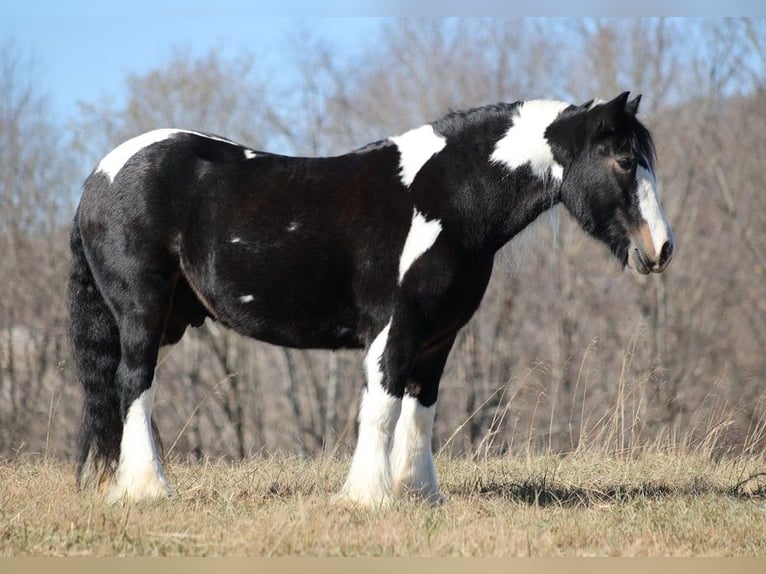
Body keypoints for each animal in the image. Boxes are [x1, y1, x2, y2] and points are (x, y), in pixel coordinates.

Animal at [69, 93, 676, 508]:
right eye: (625, 161)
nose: (661, 249)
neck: (450, 199)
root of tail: (98, 176)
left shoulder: (438, 336)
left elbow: (421, 409)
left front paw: (421, 494)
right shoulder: (396, 328)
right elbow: (381, 406)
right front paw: (368, 496)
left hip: (170, 320)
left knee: (126, 393)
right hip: (142, 312)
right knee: (133, 384)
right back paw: (148, 489)